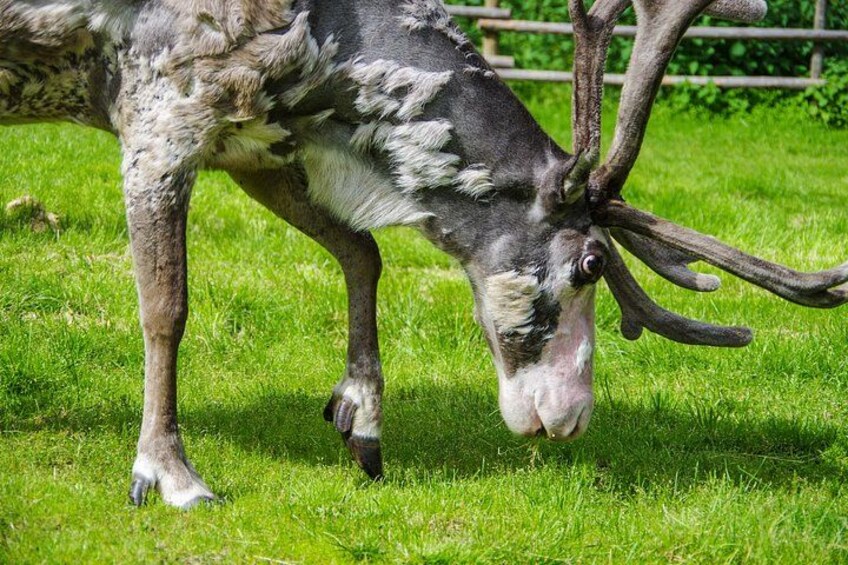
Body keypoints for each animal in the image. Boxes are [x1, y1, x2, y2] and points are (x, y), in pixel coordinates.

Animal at [1, 0, 845, 509]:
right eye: (591, 264)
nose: (573, 418)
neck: (324, 55)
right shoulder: (162, 115)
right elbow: (165, 309)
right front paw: (169, 472)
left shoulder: (259, 145)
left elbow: (364, 250)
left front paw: (362, 418)